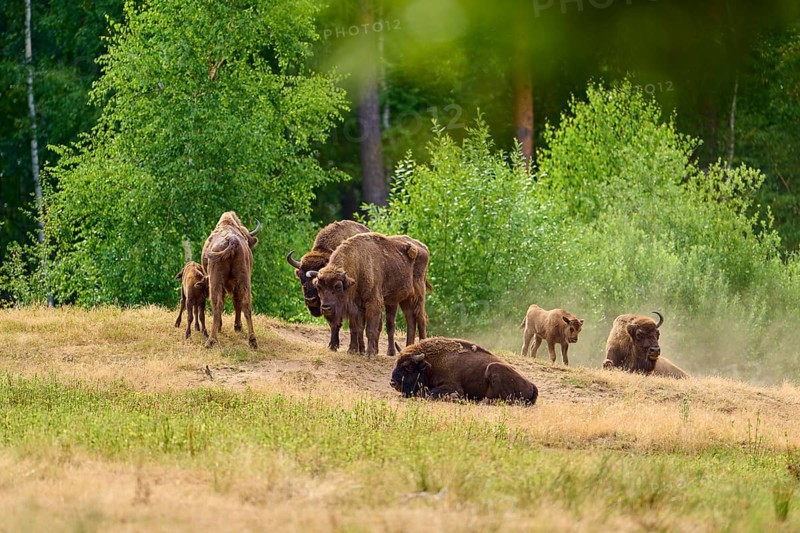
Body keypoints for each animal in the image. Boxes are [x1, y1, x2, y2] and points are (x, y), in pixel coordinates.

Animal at [201, 211, 261, 349]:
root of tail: (232, 240)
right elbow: (237, 302)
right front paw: (237, 327)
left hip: (215, 281)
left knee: (217, 304)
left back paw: (211, 340)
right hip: (244, 279)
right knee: (246, 303)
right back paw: (252, 340)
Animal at [390, 337, 538, 404]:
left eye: (408, 367)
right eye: (396, 363)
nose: (393, 383)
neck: (431, 364)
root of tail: (532, 384)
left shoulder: (453, 387)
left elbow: (430, 394)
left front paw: (456, 398)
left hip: (493, 368)